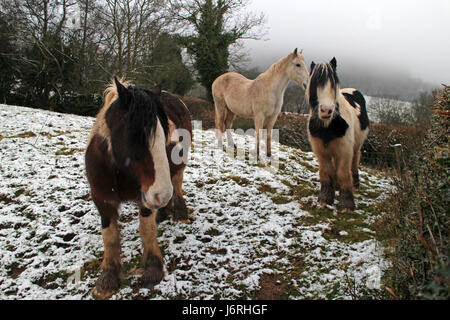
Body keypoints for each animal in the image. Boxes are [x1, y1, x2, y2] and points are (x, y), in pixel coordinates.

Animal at [85, 77, 192, 298]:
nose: (162, 194)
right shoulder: (102, 199)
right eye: (135, 136)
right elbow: (110, 237)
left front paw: (153, 269)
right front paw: (107, 279)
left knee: (177, 185)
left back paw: (179, 212)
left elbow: (147, 230)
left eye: (164, 134)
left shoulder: (146, 197)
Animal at [306, 57, 370, 212]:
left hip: (355, 147)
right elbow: (326, 173)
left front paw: (346, 205)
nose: (326, 110)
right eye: (315, 84)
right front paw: (324, 199)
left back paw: (355, 184)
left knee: (354, 162)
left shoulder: (344, 150)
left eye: (333, 83)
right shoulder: (321, 151)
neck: (328, 125)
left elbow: (343, 174)